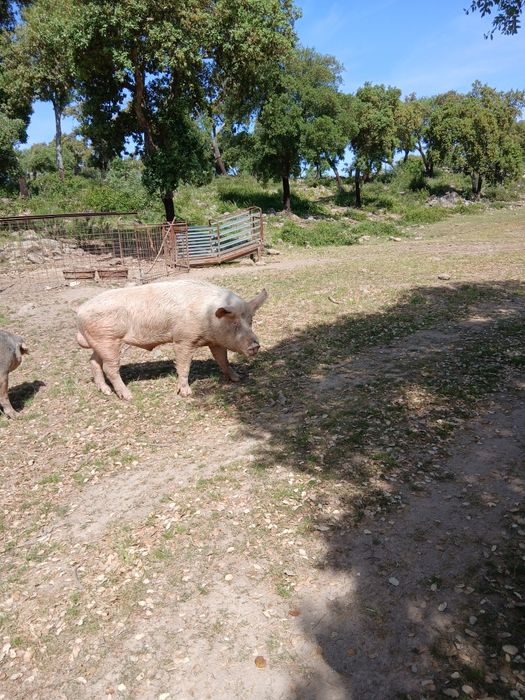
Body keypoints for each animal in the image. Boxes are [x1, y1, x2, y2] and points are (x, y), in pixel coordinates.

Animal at [76, 279, 268, 401]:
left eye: (250, 321)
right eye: (234, 323)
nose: (255, 345)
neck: (208, 317)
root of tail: (80, 310)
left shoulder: (215, 341)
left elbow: (223, 360)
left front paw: (237, 378)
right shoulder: (183, 339)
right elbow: (184, 365)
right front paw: (186, 393)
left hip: (99, 343)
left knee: (93, 361)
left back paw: (105, 391)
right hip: (108, 339)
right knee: (110, 368)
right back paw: (128, 396)